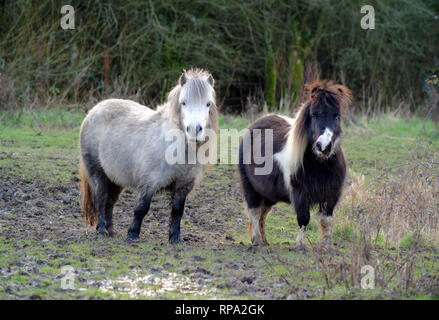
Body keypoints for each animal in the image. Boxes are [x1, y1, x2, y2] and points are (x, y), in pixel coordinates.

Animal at [79, 67, 218, 242]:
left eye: (208, 103)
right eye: (183, 102)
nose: (194, 130)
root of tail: (95, 110)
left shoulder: (183, 185)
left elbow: (177, 211)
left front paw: (175, 238)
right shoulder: (149, 182)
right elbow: (142, 208)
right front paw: (132, 235)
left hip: (115, 178)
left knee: (110, 202)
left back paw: (110, 231)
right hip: (98, 173)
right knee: (101, 199)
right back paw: (102, 230)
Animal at [239, 79, 352, 249]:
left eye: (337, 116)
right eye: (314, 114)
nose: (323, 146)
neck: (321, 166)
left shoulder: (331, 195)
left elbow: (326, 221)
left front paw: (326, 246)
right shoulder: (300, 194)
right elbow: (303, 218)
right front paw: (300, 245)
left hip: (269, 194)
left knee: (263, 215)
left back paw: (264, 241)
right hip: (251, 188)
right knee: (255, 212)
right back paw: (257, 241)